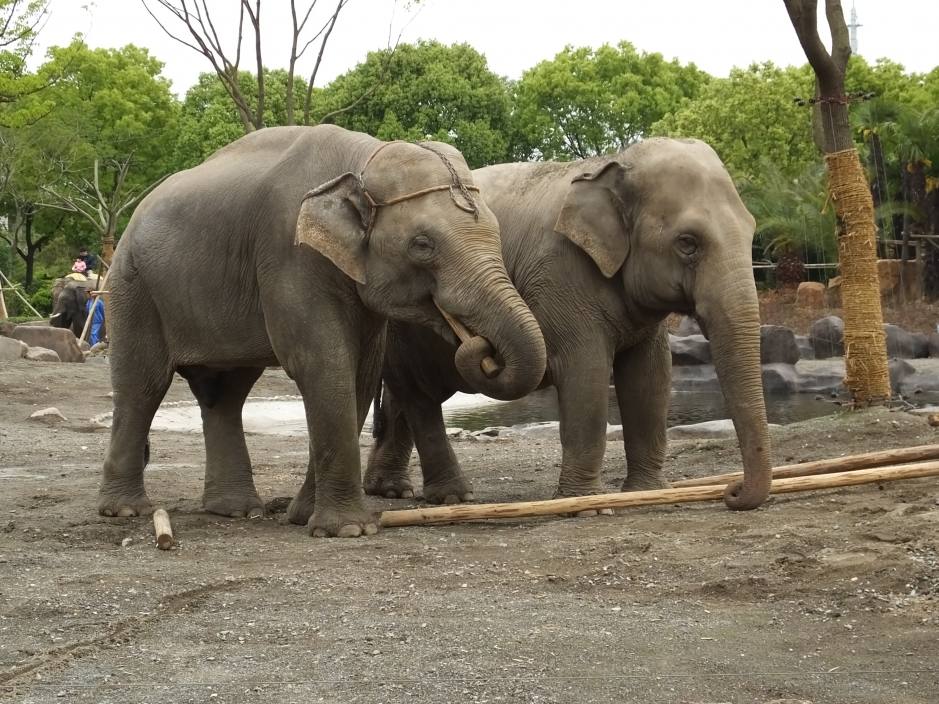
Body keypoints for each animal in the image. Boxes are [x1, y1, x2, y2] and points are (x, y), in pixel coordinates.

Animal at [99, 125, 548, 540]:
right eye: (423, 245)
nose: (481, 346)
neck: (363, 159)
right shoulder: (290, 254)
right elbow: (323, 363)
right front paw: (347, 531)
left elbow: (361, 373)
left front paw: (303, 517)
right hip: (131, 286)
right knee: (143, 385)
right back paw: (126, 511)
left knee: (226, 394)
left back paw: (236, 510)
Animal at [366, 138, 772, 512]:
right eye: (688, 243)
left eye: (752, 229)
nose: (732, 491)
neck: (609, 164)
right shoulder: (561, 276)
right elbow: (586, 375)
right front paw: (589, 505)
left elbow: (651, 377)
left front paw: (650, 493)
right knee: (420, 396)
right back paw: (452, 497)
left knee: (404, 397)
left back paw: (390, 490)